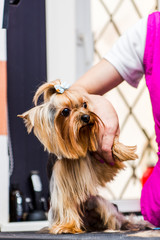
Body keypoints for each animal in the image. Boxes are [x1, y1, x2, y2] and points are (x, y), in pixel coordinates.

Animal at [18, 79, 145, 233]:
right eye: (65, 111)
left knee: (113, 217)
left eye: (84, 104)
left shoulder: (97, 159)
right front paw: (67, 226)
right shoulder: (62, 184)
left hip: (98, 202)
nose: (86, 117)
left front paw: (123, 150)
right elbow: (65, 203)